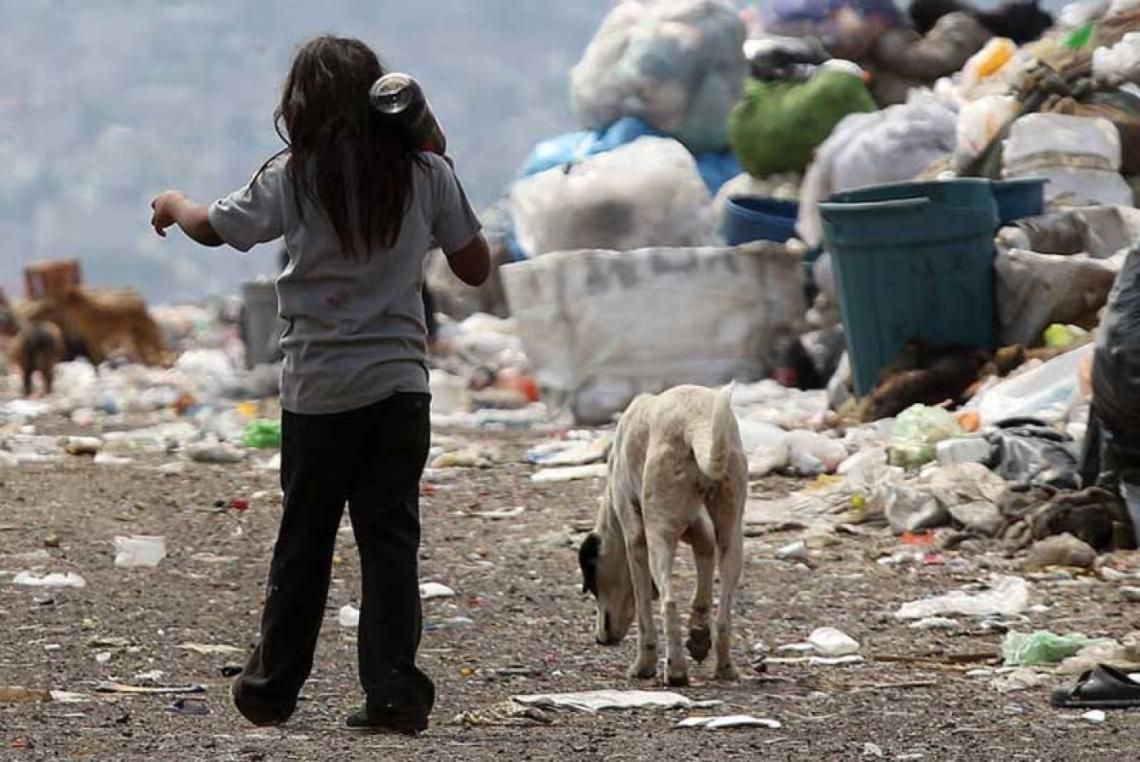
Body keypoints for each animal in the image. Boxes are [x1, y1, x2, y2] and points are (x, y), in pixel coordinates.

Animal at [579, 383, 747, 688]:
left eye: (593, 585)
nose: (600, 639)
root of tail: (695, 421)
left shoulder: (635, 538)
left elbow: (644, 607)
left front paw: (643, 665)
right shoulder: (698, 529)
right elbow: (703, 576)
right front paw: (698, 635)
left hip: (659, 536)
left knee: (669, 602)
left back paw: (676, 669)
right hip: (732, 532)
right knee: (724, 612)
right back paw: (725, 667)